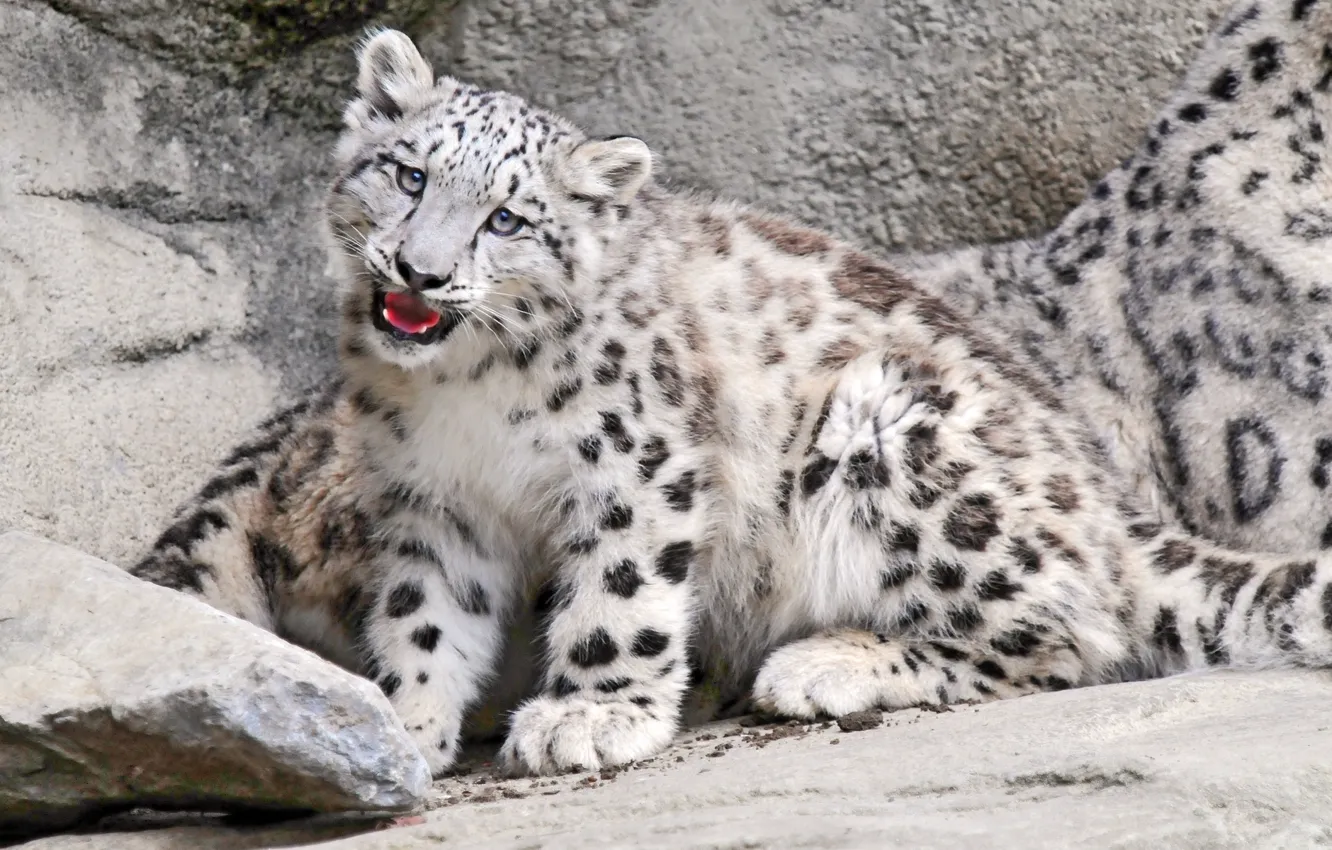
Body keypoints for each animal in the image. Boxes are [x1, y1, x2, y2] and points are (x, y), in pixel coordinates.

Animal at [132, 24, 1332, 778]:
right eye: (409, 174)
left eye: (508, 220)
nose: (418, 272)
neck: (465, 395)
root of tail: (1107, 503)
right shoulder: (434, 503)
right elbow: (429, 615)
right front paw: (408, 720)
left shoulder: (637, 461)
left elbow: (619, 594)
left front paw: (589, 716)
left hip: (896, 431)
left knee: (1068, 633)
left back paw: (826, 663)